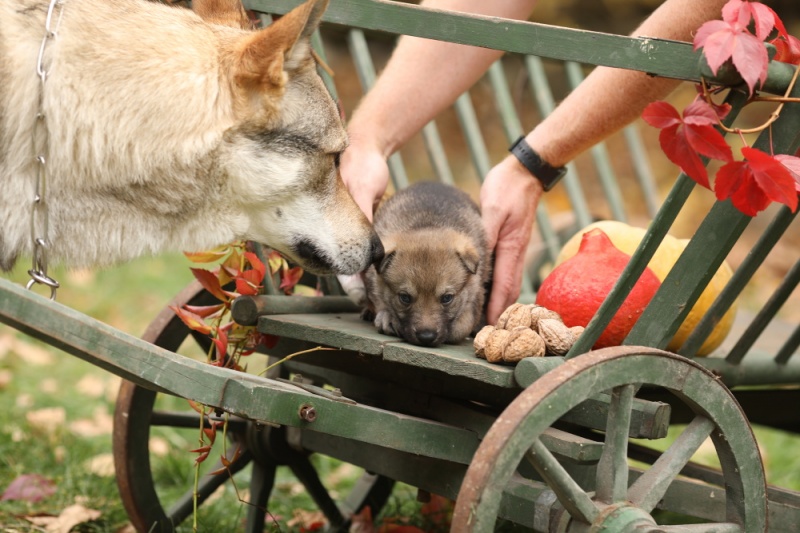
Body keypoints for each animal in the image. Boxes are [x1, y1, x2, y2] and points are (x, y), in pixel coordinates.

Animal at [364, 183, 490, 348]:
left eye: (447, 298)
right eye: (404, 298)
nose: (426, 337)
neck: (428, 223)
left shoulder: (475, 294)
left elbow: (462, 326)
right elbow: (380, 300)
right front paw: (388, 317)